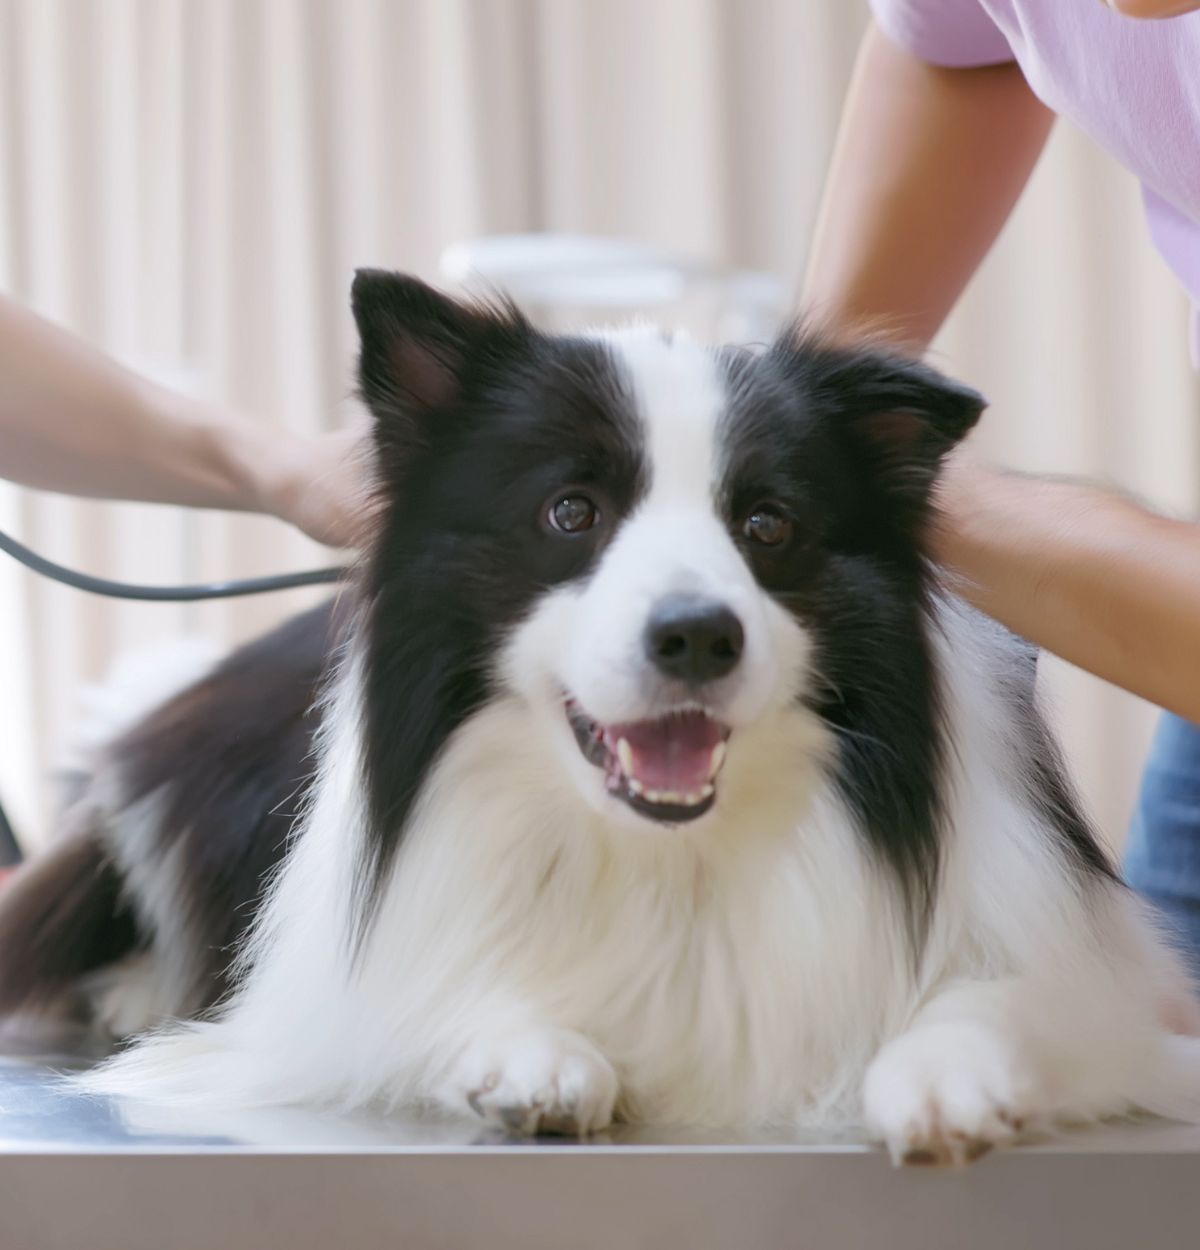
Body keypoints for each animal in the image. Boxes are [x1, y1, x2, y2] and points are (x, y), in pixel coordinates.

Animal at [2, 271, 1200, 1160]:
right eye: (570, 511)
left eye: (768, 524)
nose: (697, 636)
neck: (670, 855)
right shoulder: (337, 1001)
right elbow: (433, 1002)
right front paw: (528, 1052)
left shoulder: (1083, 976)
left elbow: (1013, 1003)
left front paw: (945, 1071)